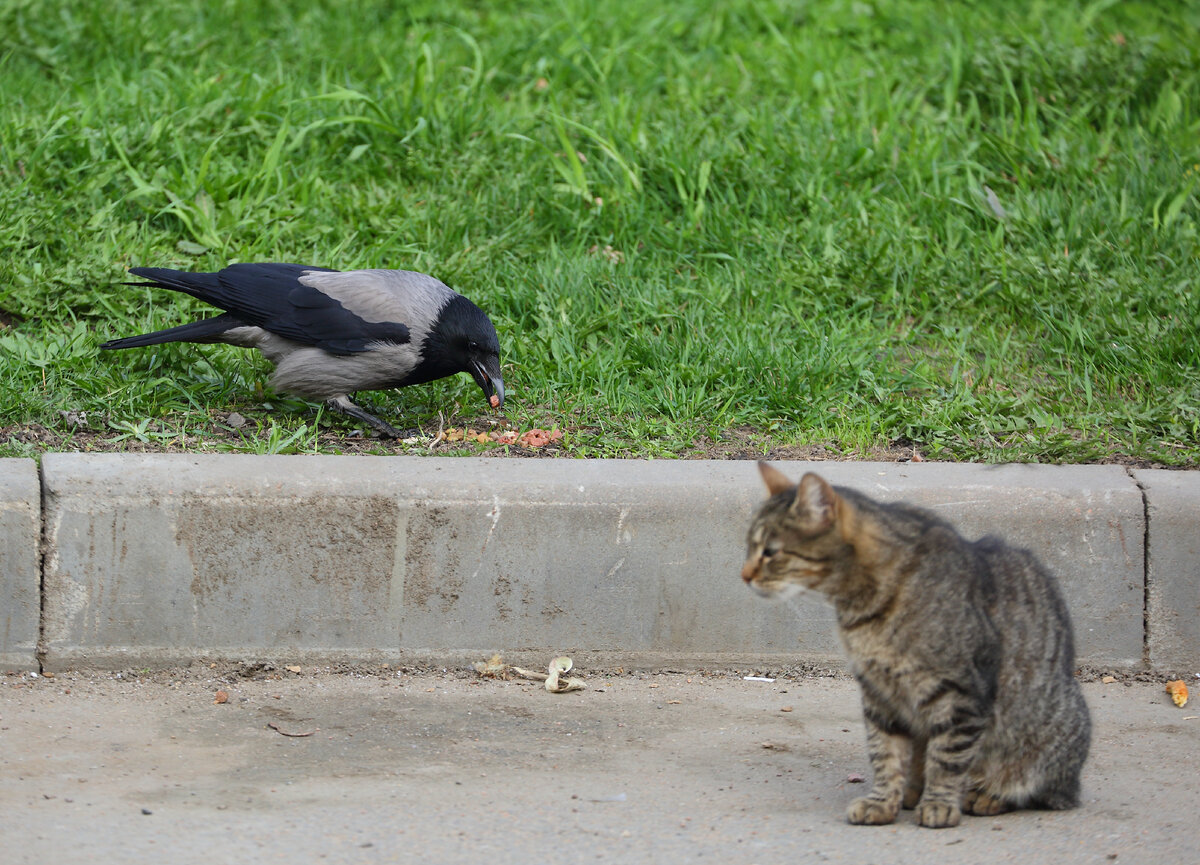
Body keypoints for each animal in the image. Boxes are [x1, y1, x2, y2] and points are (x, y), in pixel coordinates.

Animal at [739, 463, 1089, 825]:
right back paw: (912, 793)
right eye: (750, 548)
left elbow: (947, 759)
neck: (862, 608)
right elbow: (885, 755)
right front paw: (883, 802)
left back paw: (986, 796)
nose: (744, 575)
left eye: (770, 551)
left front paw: (939, 804)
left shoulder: (960, 695)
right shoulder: (879, 694)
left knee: (1032, 787)